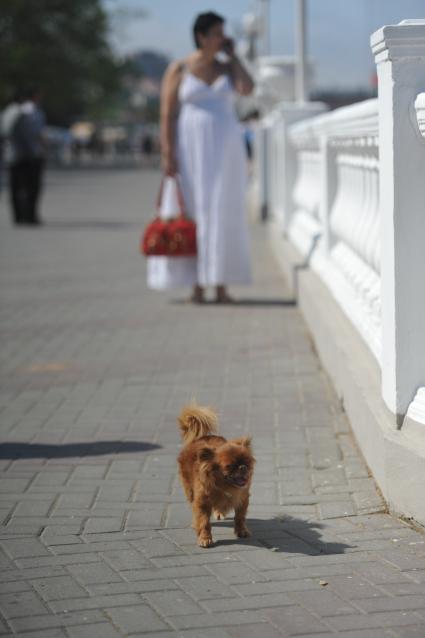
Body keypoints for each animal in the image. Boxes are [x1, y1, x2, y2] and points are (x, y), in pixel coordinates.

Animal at [176, 408, 253, 548]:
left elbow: (240, 517)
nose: (243, 467)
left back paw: (219, 512)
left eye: (247, 462)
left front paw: (241, 531)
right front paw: (205, 538)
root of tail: (198, 438)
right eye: (229, 466)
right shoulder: (202, 503)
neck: (224, 486)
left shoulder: (243, 500)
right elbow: (204, 522)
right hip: (189, 490)